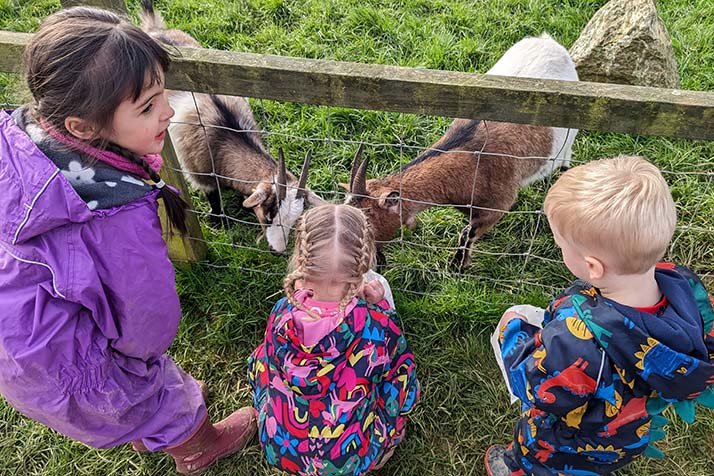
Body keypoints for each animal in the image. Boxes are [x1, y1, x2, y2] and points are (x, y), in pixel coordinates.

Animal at [139, 0, 320, 253]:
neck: (225, 138)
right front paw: (219, 220)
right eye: (269, 215)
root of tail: (155, 30)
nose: (277, 250)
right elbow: (213, 196)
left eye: (294, 220)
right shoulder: (200, 173)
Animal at [344, 33, 580, 270]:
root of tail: (548, 41)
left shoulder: (497, 207)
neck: (473, 161)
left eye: (368, 219)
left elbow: (468, 234)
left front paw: (458, 266)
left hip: (568, 139)